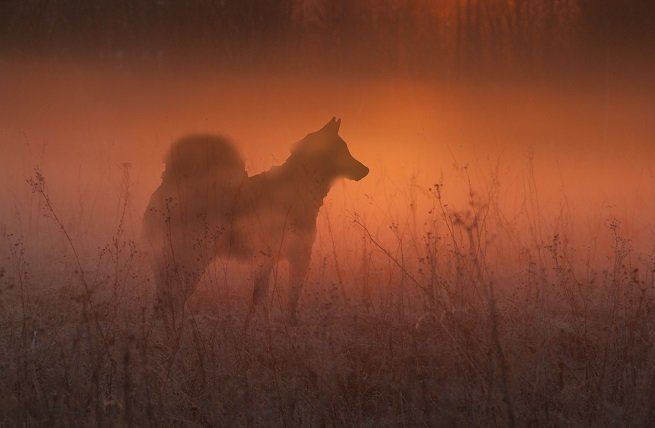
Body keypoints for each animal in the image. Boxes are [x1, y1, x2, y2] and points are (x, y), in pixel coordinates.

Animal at [144, 118, 368, 332]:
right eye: (344, 150)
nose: (366, 169)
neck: (299, 185)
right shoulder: (298, 257)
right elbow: (288, 301)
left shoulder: (267, 261)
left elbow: (257, 301)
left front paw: (251, 328)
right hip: (192, 263)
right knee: (171, 299)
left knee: (163, 300)